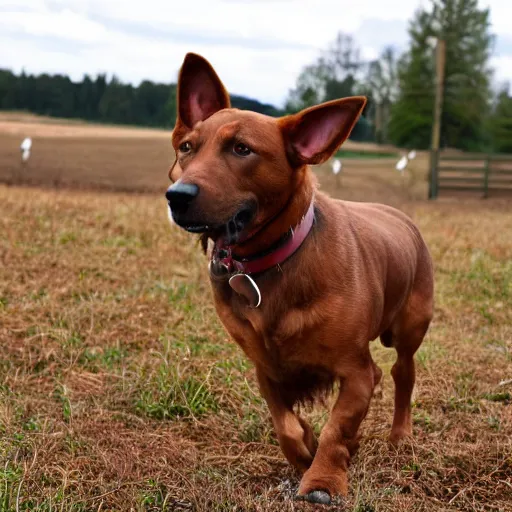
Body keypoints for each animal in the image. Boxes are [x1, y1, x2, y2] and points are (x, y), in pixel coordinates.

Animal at [166, 53, 434, 504]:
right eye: (187, 147)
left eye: (242, 149)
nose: (177, 196)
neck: (272, 262)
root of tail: (400, 215)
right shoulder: (265, 367)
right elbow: (286, 425)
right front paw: (305, 448)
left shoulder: (355, 371)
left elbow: (337, 426)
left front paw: (323, 478)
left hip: (409, 329)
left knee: (401, 374)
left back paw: (401, 434)